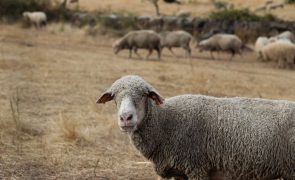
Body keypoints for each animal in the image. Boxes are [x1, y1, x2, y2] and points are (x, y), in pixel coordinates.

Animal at [98, 74, 295, 180]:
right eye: (114, 97)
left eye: (144, 95)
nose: (125, 117)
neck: (164, 123)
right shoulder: (180, 172)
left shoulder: (197, 167)